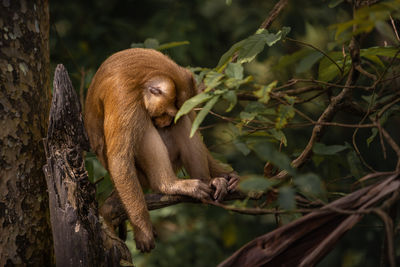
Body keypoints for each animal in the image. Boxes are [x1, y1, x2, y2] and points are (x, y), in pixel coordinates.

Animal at [84, 48, 239, 253]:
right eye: (167, 113)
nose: (167, 122)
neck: (142, 81)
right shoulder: (123, 96)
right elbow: (119, 160)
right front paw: (143, 228)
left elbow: (189, 120)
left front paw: (226, 175)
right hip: (142, 175)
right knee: (143, 128)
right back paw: (167, 184)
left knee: (182, 124)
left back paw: (209, 181)